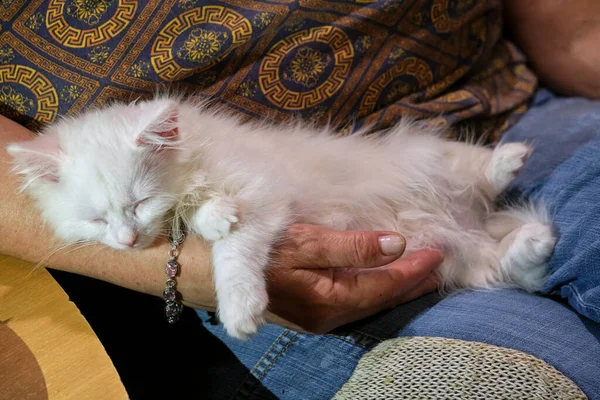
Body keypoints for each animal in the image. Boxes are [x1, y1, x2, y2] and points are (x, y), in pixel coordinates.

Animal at [5, 97, 556, 338]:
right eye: (96, 221)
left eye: (138, 203)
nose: (124, 240)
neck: (198, 160)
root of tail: (468, 221)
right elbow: (205, 217)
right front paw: (212, 215)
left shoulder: (265, 191)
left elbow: (235, 252)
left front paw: (241, 311)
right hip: (455, 257)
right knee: (509, 267)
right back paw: (535, 242)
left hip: (426, 155)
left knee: (476, 174)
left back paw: (509, 161)